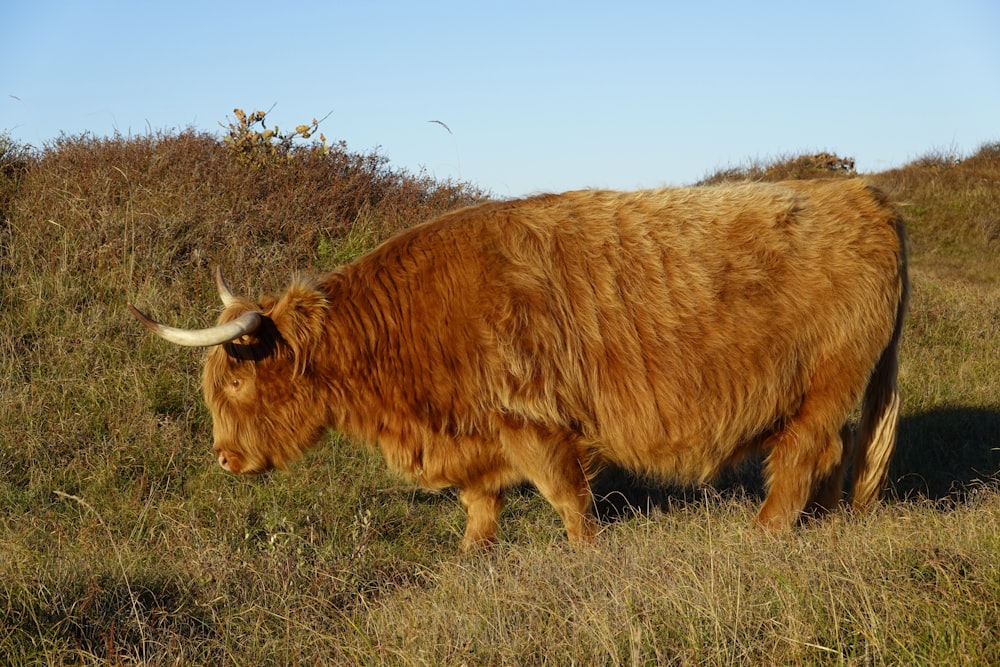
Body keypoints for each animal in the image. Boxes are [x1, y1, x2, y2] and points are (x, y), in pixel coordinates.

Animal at [131, 177, 908, 548]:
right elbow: (480, 504)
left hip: (825, 382)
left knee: (804, 452)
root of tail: (862, 193)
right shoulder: (475, 435)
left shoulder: (534, 420)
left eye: (236, 379)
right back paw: (821, 523)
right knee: (834, 451)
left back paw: (765, 533)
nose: (224, 458)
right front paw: (472, 555)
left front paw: (586, 554)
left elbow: (568, 498)